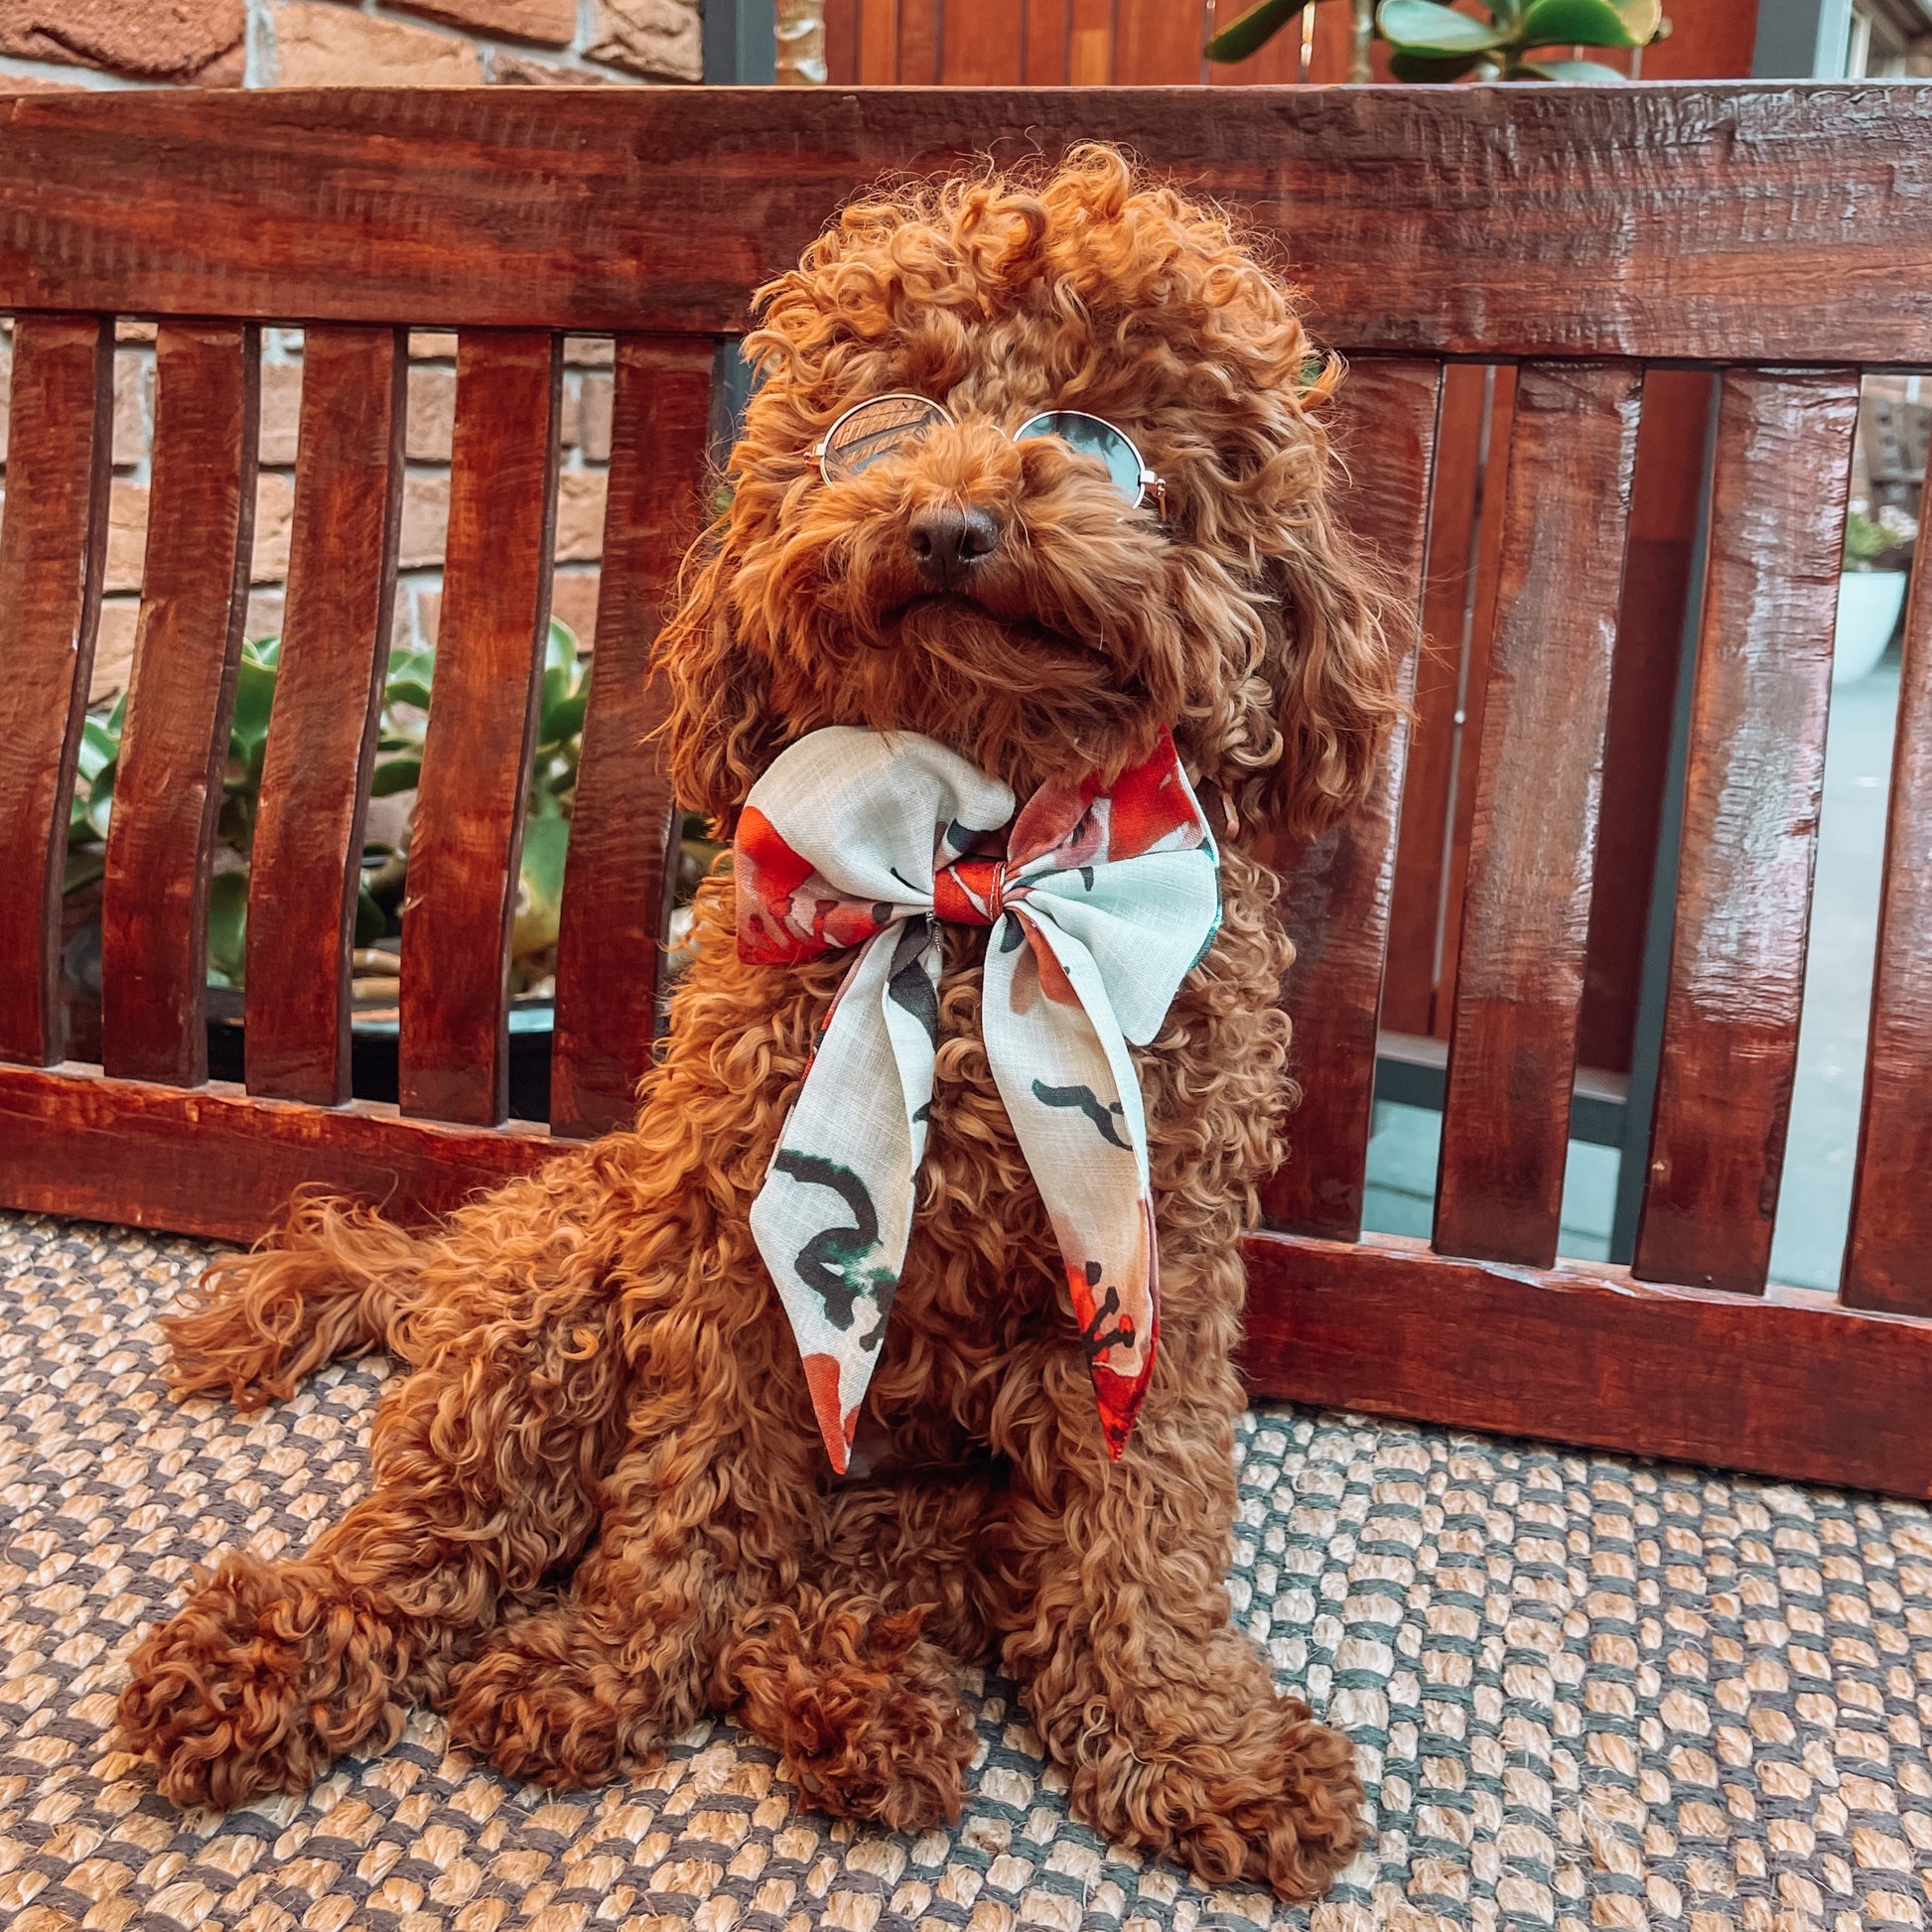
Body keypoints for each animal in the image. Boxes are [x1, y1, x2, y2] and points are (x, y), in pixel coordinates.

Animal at [112, 146, 1398, 1900]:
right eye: (880, 420)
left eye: (1095, 435)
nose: (950, 519)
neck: (969, 862)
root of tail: (442, 1268)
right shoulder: (733, 1235)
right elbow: (688, 1486)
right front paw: (605, 1666)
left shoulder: (1150, 1267)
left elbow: (1143, 1530)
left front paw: (1191, 1742)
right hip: (552, 1309)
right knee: (434, 1538)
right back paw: (278, 1653)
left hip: (940, 1500)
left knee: (830, 1585)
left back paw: (862, 1711)